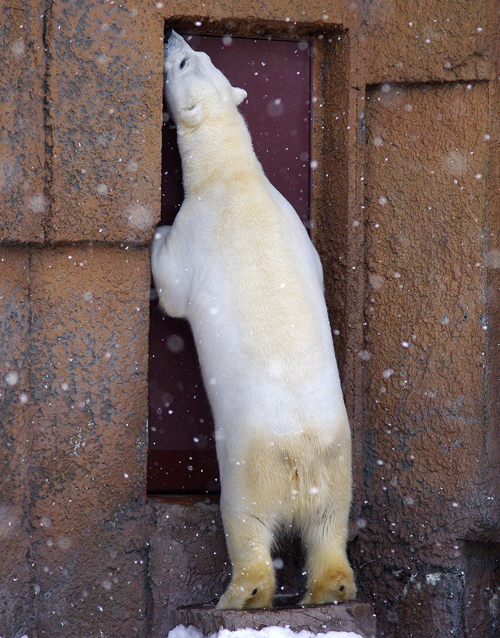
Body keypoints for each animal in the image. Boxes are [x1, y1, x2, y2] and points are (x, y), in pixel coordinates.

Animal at [152, 30, 356, 608]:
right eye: (199, 56)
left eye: (184, 62)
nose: (174, 34)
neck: (233, 174)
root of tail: (299, 453)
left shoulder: (198, 228)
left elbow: (173, 287)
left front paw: (154, 233)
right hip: (337, 465)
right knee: (329, 524)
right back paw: (331, 587)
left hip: (250, 467)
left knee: (245, 523)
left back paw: (241, 594)